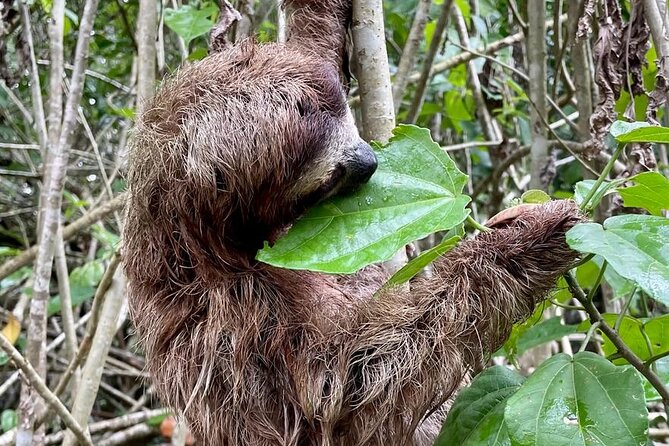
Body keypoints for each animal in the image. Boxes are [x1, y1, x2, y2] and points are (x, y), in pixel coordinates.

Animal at [122, 0, 583, 444]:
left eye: (349, 125)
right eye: (324, 182)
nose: (368, 160)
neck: (197, 242)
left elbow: (311, 46)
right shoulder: (233, 313)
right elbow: (342, 393)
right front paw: (527, 240)